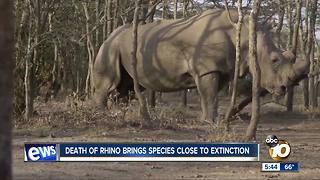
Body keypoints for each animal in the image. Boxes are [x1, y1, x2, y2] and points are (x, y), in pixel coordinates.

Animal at [94, 9, 308, 123]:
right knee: (110, 83)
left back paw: (119, 114)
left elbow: (212, 96)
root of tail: (108, 36)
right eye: (274, 60)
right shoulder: (207, 68)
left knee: (127, 87)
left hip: (120, 46)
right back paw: (100, 114)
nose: (285, 87)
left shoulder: (222, 69)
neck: (246, 36)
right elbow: (209, 95)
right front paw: (209, 122)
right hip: (110, 47)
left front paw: (213, 120)